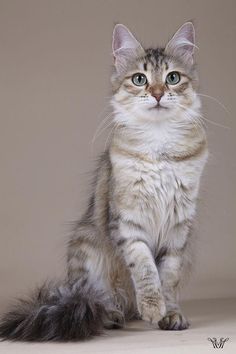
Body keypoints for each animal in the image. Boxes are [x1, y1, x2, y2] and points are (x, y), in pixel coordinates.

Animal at [0, 21, 207, 340]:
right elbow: (146, 269)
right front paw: (152, 308)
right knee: (99, 299)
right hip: (86, 250)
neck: (159, 144)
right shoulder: (128, 223)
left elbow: (168, 277)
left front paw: (168, 314)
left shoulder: (179, 229)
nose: (158, 93)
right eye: (139, 79)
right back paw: (112, 315)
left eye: (172, 78)